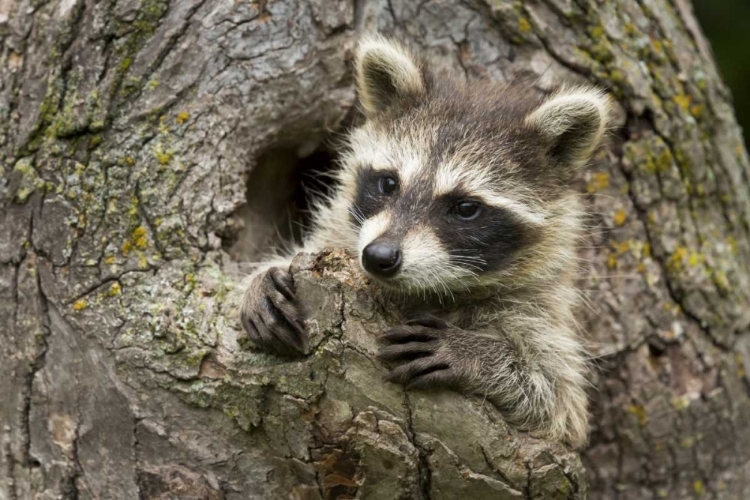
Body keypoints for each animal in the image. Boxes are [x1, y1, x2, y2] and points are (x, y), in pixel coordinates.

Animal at [244, 36, 612, 450]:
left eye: (465, 208)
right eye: (389, 183)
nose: (379, 256)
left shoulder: (537, 305)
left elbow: (559, 400)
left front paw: (477, 354)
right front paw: (261, 278)